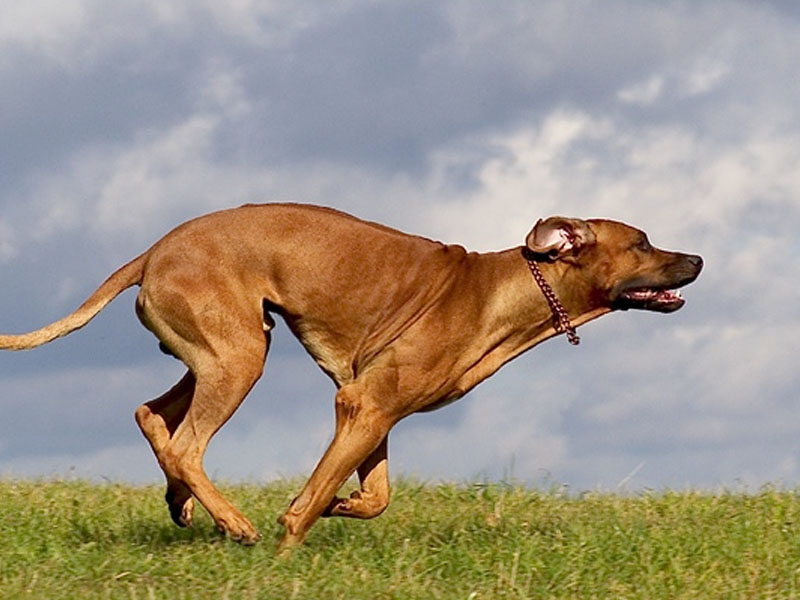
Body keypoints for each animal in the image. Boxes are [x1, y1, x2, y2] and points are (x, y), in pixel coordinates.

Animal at [0, 204, 700, 552]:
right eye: (642, 242)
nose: (696, 257)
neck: (502, 289)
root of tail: (152, 251)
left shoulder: (376, 413)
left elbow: (374, 497)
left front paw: (342, 504)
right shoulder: (364, 404)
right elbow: (305, 507)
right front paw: (284, 554)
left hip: (222, 351)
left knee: (154, 419)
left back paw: (185, 504)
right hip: (238, 356)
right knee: (187, 445)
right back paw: (234, 522)